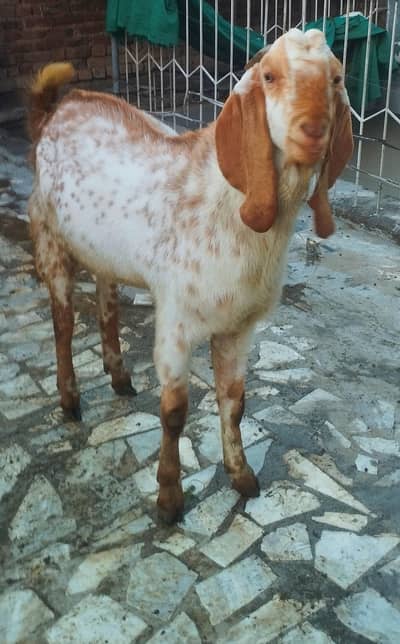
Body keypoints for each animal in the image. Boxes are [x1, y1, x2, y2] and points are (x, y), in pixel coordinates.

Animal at [28, 29, 353, 523]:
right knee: (63, 324)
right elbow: (174, 413)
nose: (313, 131)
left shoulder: (240, 328)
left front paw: (242, 476)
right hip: (51, 240)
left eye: (336, 78)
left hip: (104, 253)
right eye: (270, 76)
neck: (230, 204)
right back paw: (70, 400)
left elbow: (236, 403)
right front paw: (169, 499)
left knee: (106, 306)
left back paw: (119, 376)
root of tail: (56, 108)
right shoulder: (176, 325)